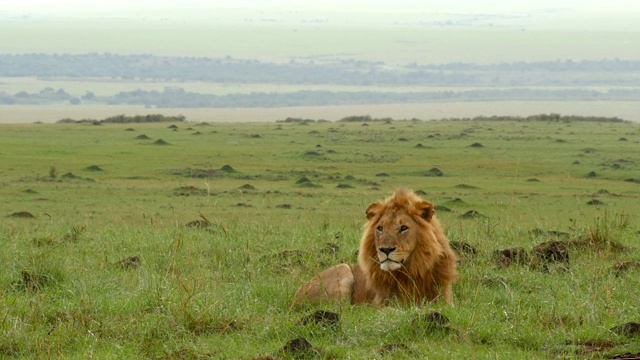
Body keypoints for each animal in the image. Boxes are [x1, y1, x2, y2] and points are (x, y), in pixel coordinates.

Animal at [292, 188, 458, 306]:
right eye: (380, 228)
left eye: (403, 228)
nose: (385, 250)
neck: (412, 270)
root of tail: (295, 297)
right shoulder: (381, 305)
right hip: (343, 269)